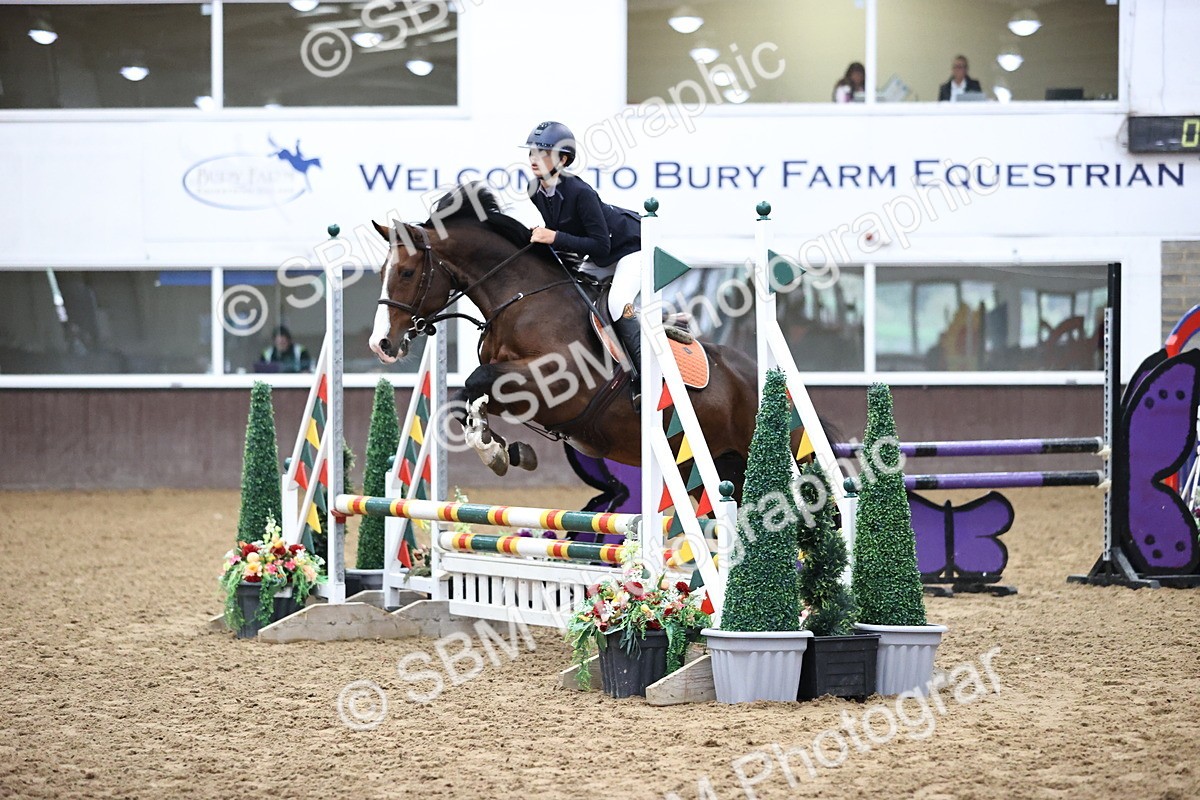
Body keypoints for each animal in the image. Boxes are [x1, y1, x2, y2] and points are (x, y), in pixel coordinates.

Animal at [367, 183, 764, 495]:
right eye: (382, 272)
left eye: (406, 272)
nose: (381, 345)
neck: (521, 299)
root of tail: (760, 373)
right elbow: (465, 398)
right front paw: (504, 449)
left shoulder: (557, 386)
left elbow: (476, 381)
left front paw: (496, 451)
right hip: (712, 468)